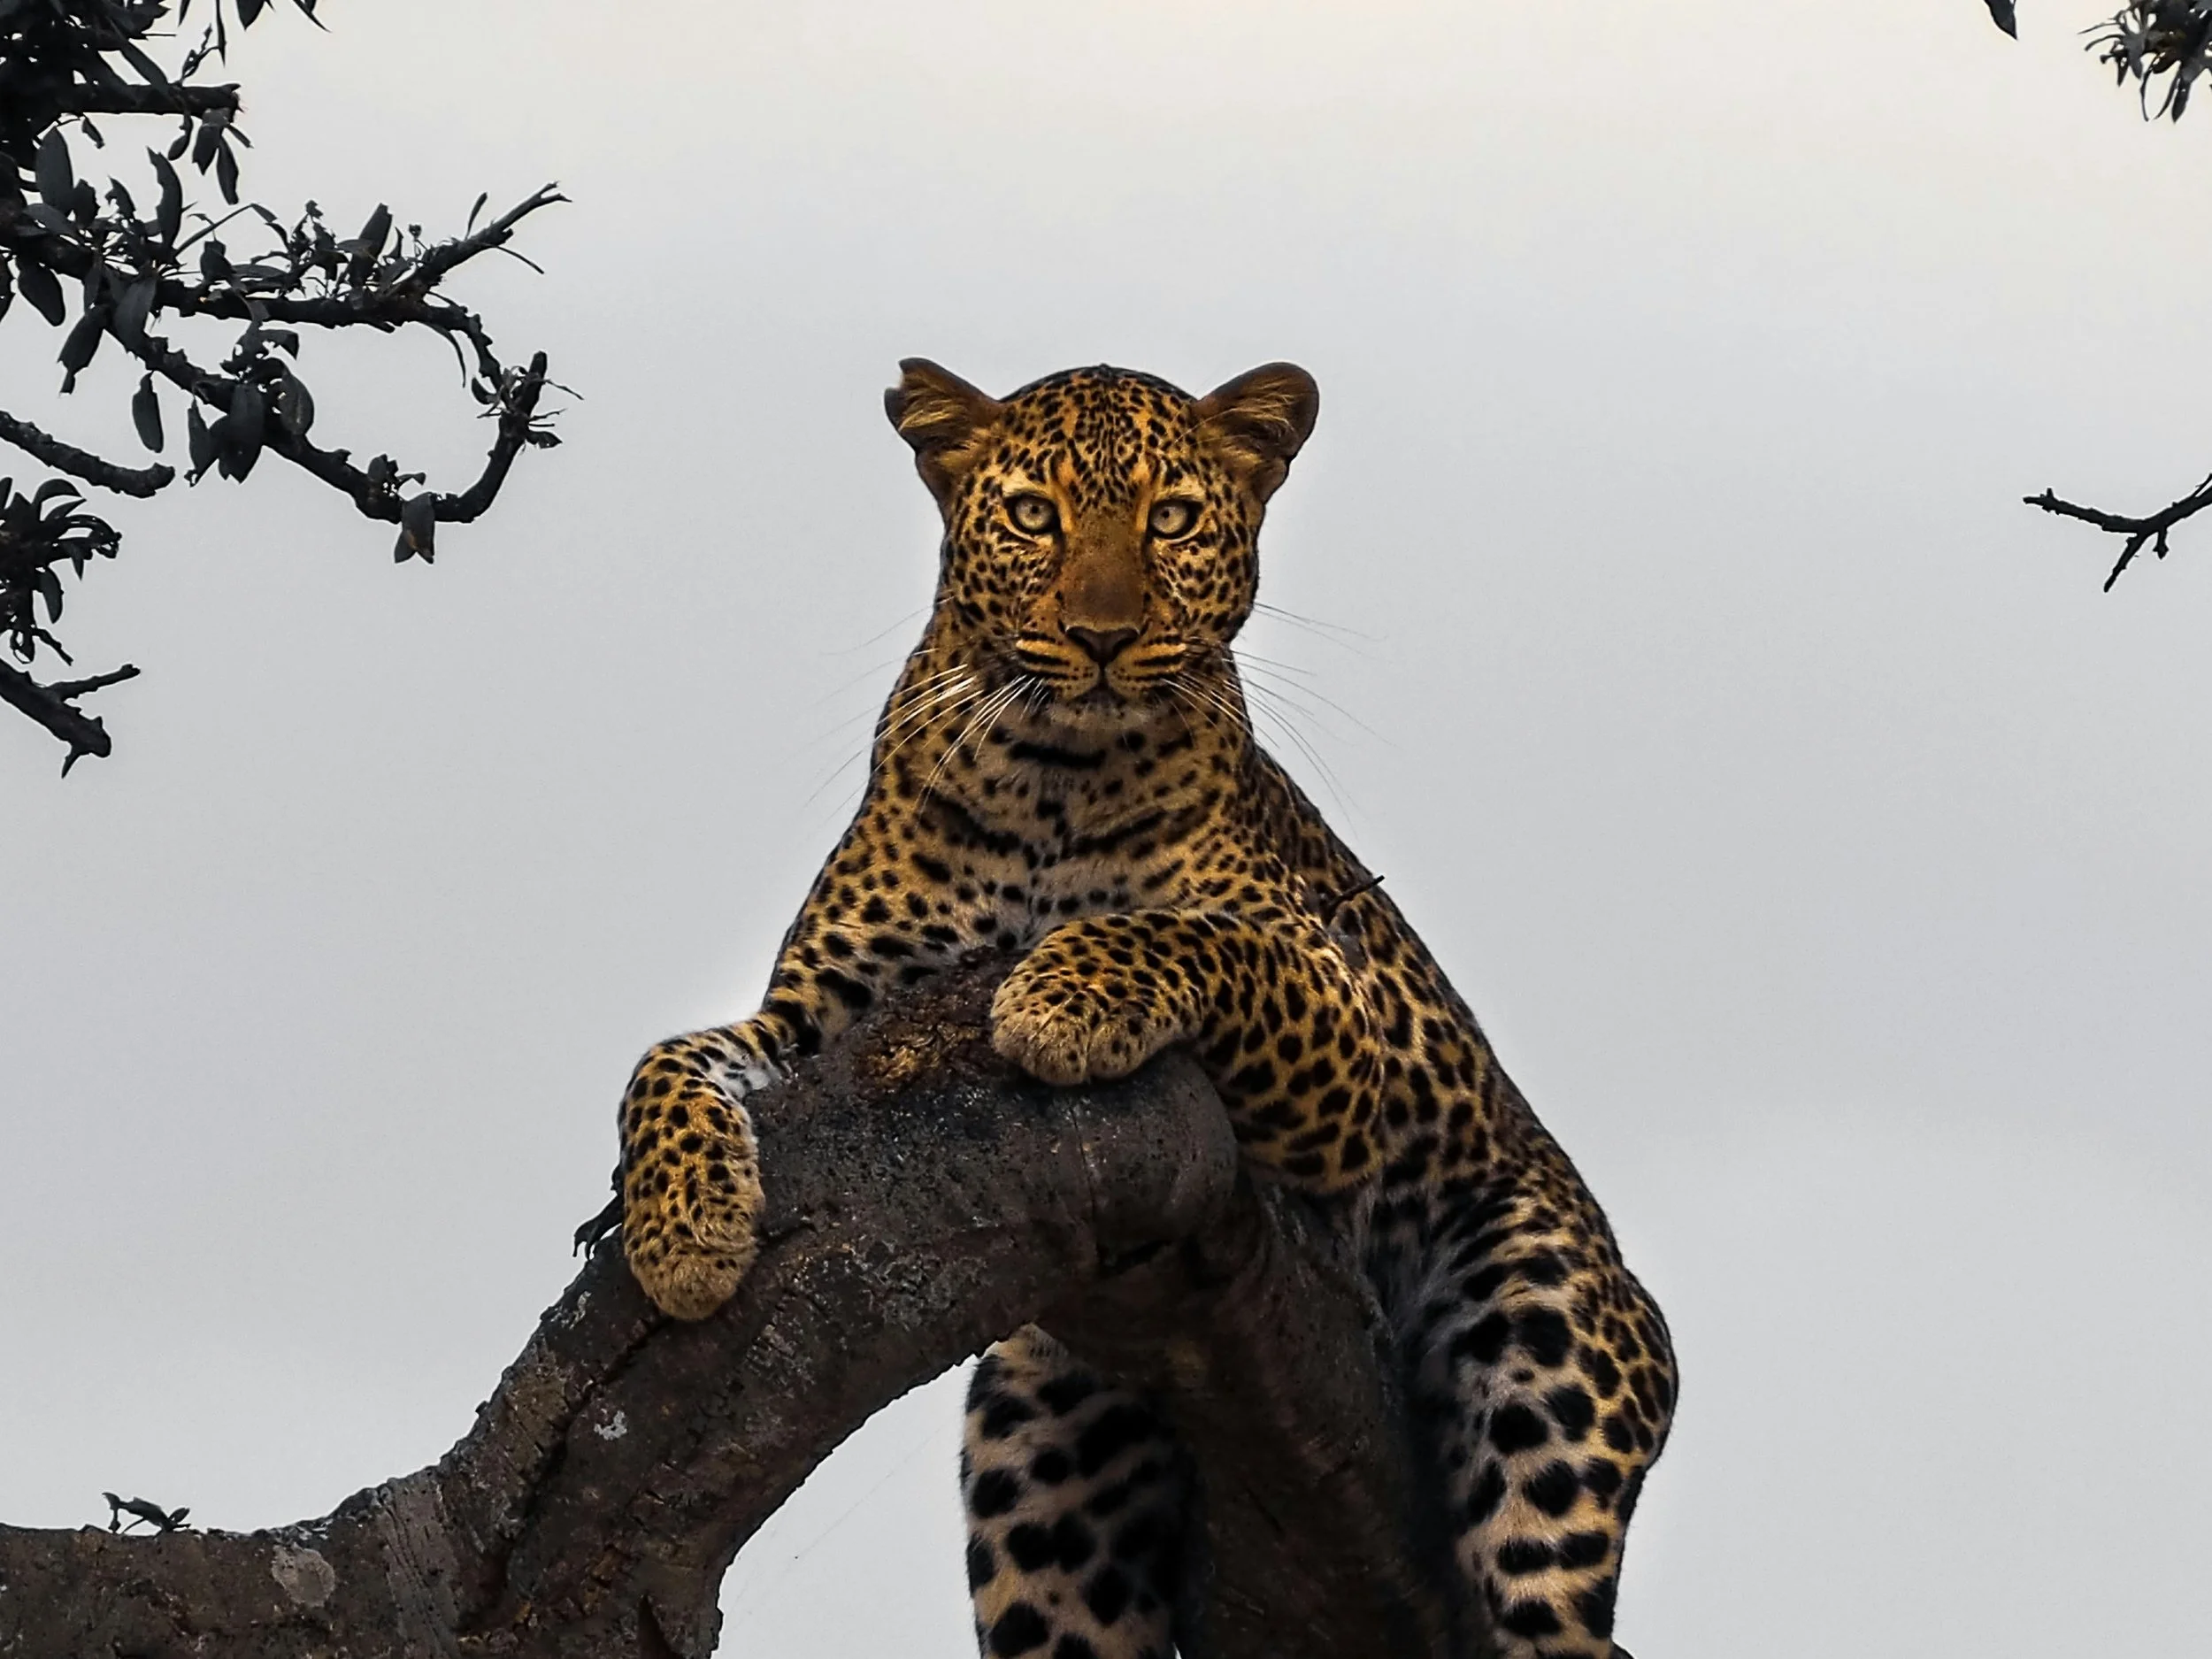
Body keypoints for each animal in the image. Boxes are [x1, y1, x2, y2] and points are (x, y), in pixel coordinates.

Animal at [615, 358, 1676, 1659]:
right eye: (1034, 516)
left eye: (1171, 518)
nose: (1104, 637)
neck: (1049, 777)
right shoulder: (827, 1025)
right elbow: (664, 1059)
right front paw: (682, 1236)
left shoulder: (1341, 1013)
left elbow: (1184, 933)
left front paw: (1057, 996)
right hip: (1036, 1439)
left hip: (1546, 1347)